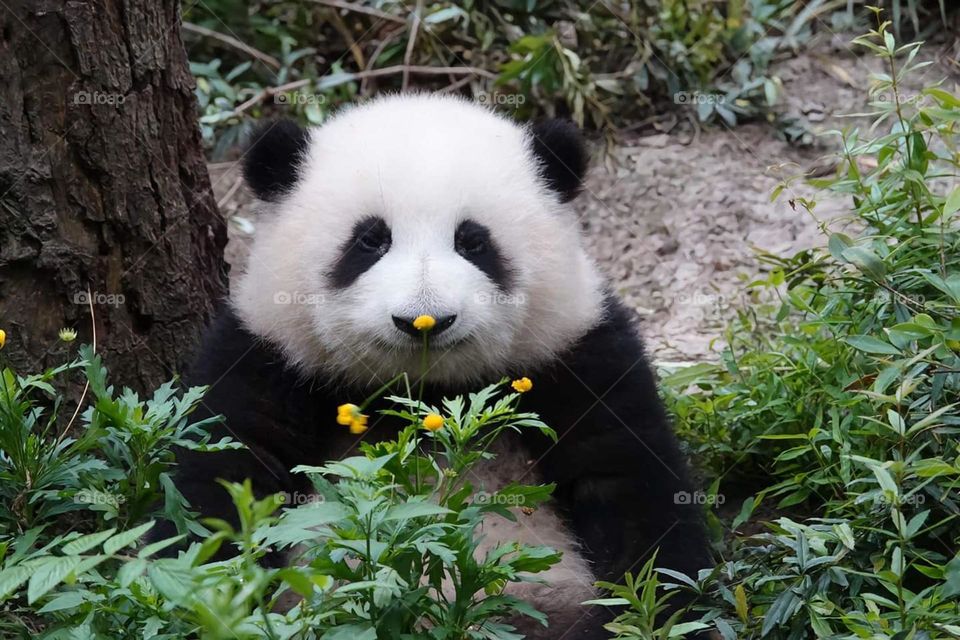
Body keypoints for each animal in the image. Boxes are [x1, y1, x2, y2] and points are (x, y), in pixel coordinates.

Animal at [169, 93, 711, 639]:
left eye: (473, 241)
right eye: (370, 240)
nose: (423, 320)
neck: (428, 394)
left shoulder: (577, 353)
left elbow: (631, 486)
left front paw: (656, 614)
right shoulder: (267, 352)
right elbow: (222, 480)